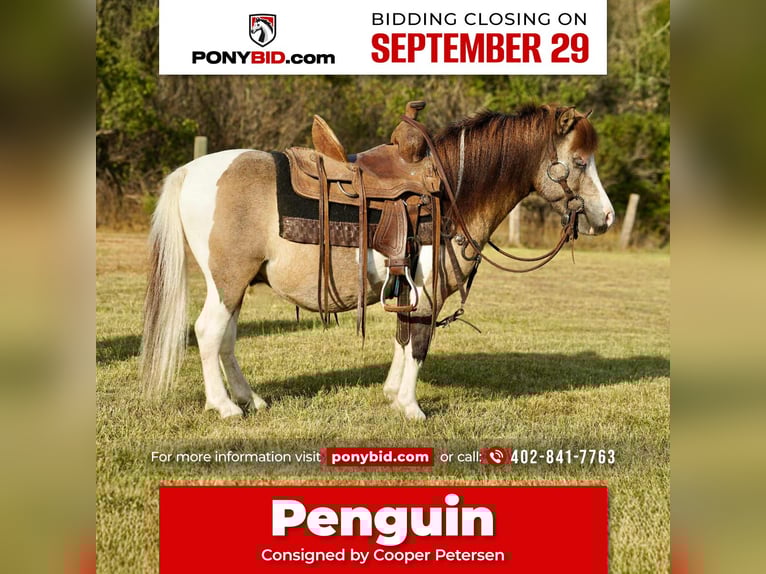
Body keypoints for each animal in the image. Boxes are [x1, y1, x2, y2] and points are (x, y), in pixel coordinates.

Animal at [140, 104, 615, 420]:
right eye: (579, 162)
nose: (606, 216)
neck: (450, 192)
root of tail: (190, 170)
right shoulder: (428, 293)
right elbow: (419, 343)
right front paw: (411, 407)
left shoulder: (407, 288)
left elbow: (403, 339)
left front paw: (390, 393)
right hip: (227, 281)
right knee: (208, 333)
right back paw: (225, 406)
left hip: (237, 286)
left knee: (226, 340)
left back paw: (250, 399)